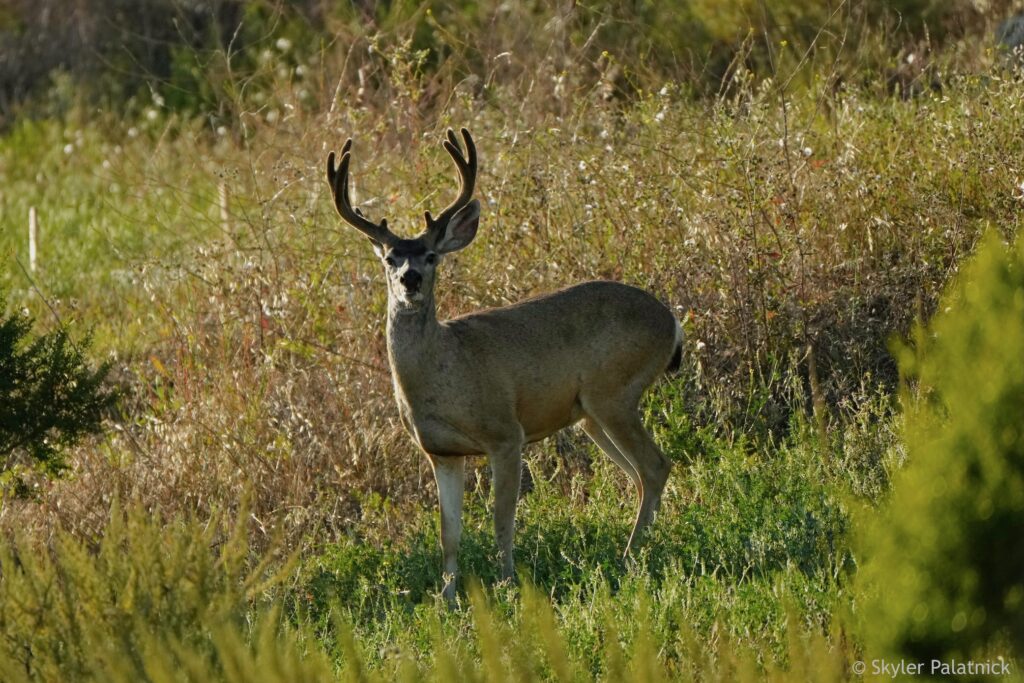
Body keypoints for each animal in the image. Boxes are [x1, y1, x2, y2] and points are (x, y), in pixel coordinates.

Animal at [326, 128, 682, 603]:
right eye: (389, 258)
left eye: (431, 256)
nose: (410, 279)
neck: (443, 373)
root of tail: (673, 322)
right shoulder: (441, 452)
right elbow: (449, 533)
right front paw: (446, 597)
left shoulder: (505, 433)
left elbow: (501, 519)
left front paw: (508, 583)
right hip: (591, 413)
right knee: (640, 474)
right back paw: (645, 543)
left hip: (614, 392)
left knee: (655, 465)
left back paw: (630, 556)